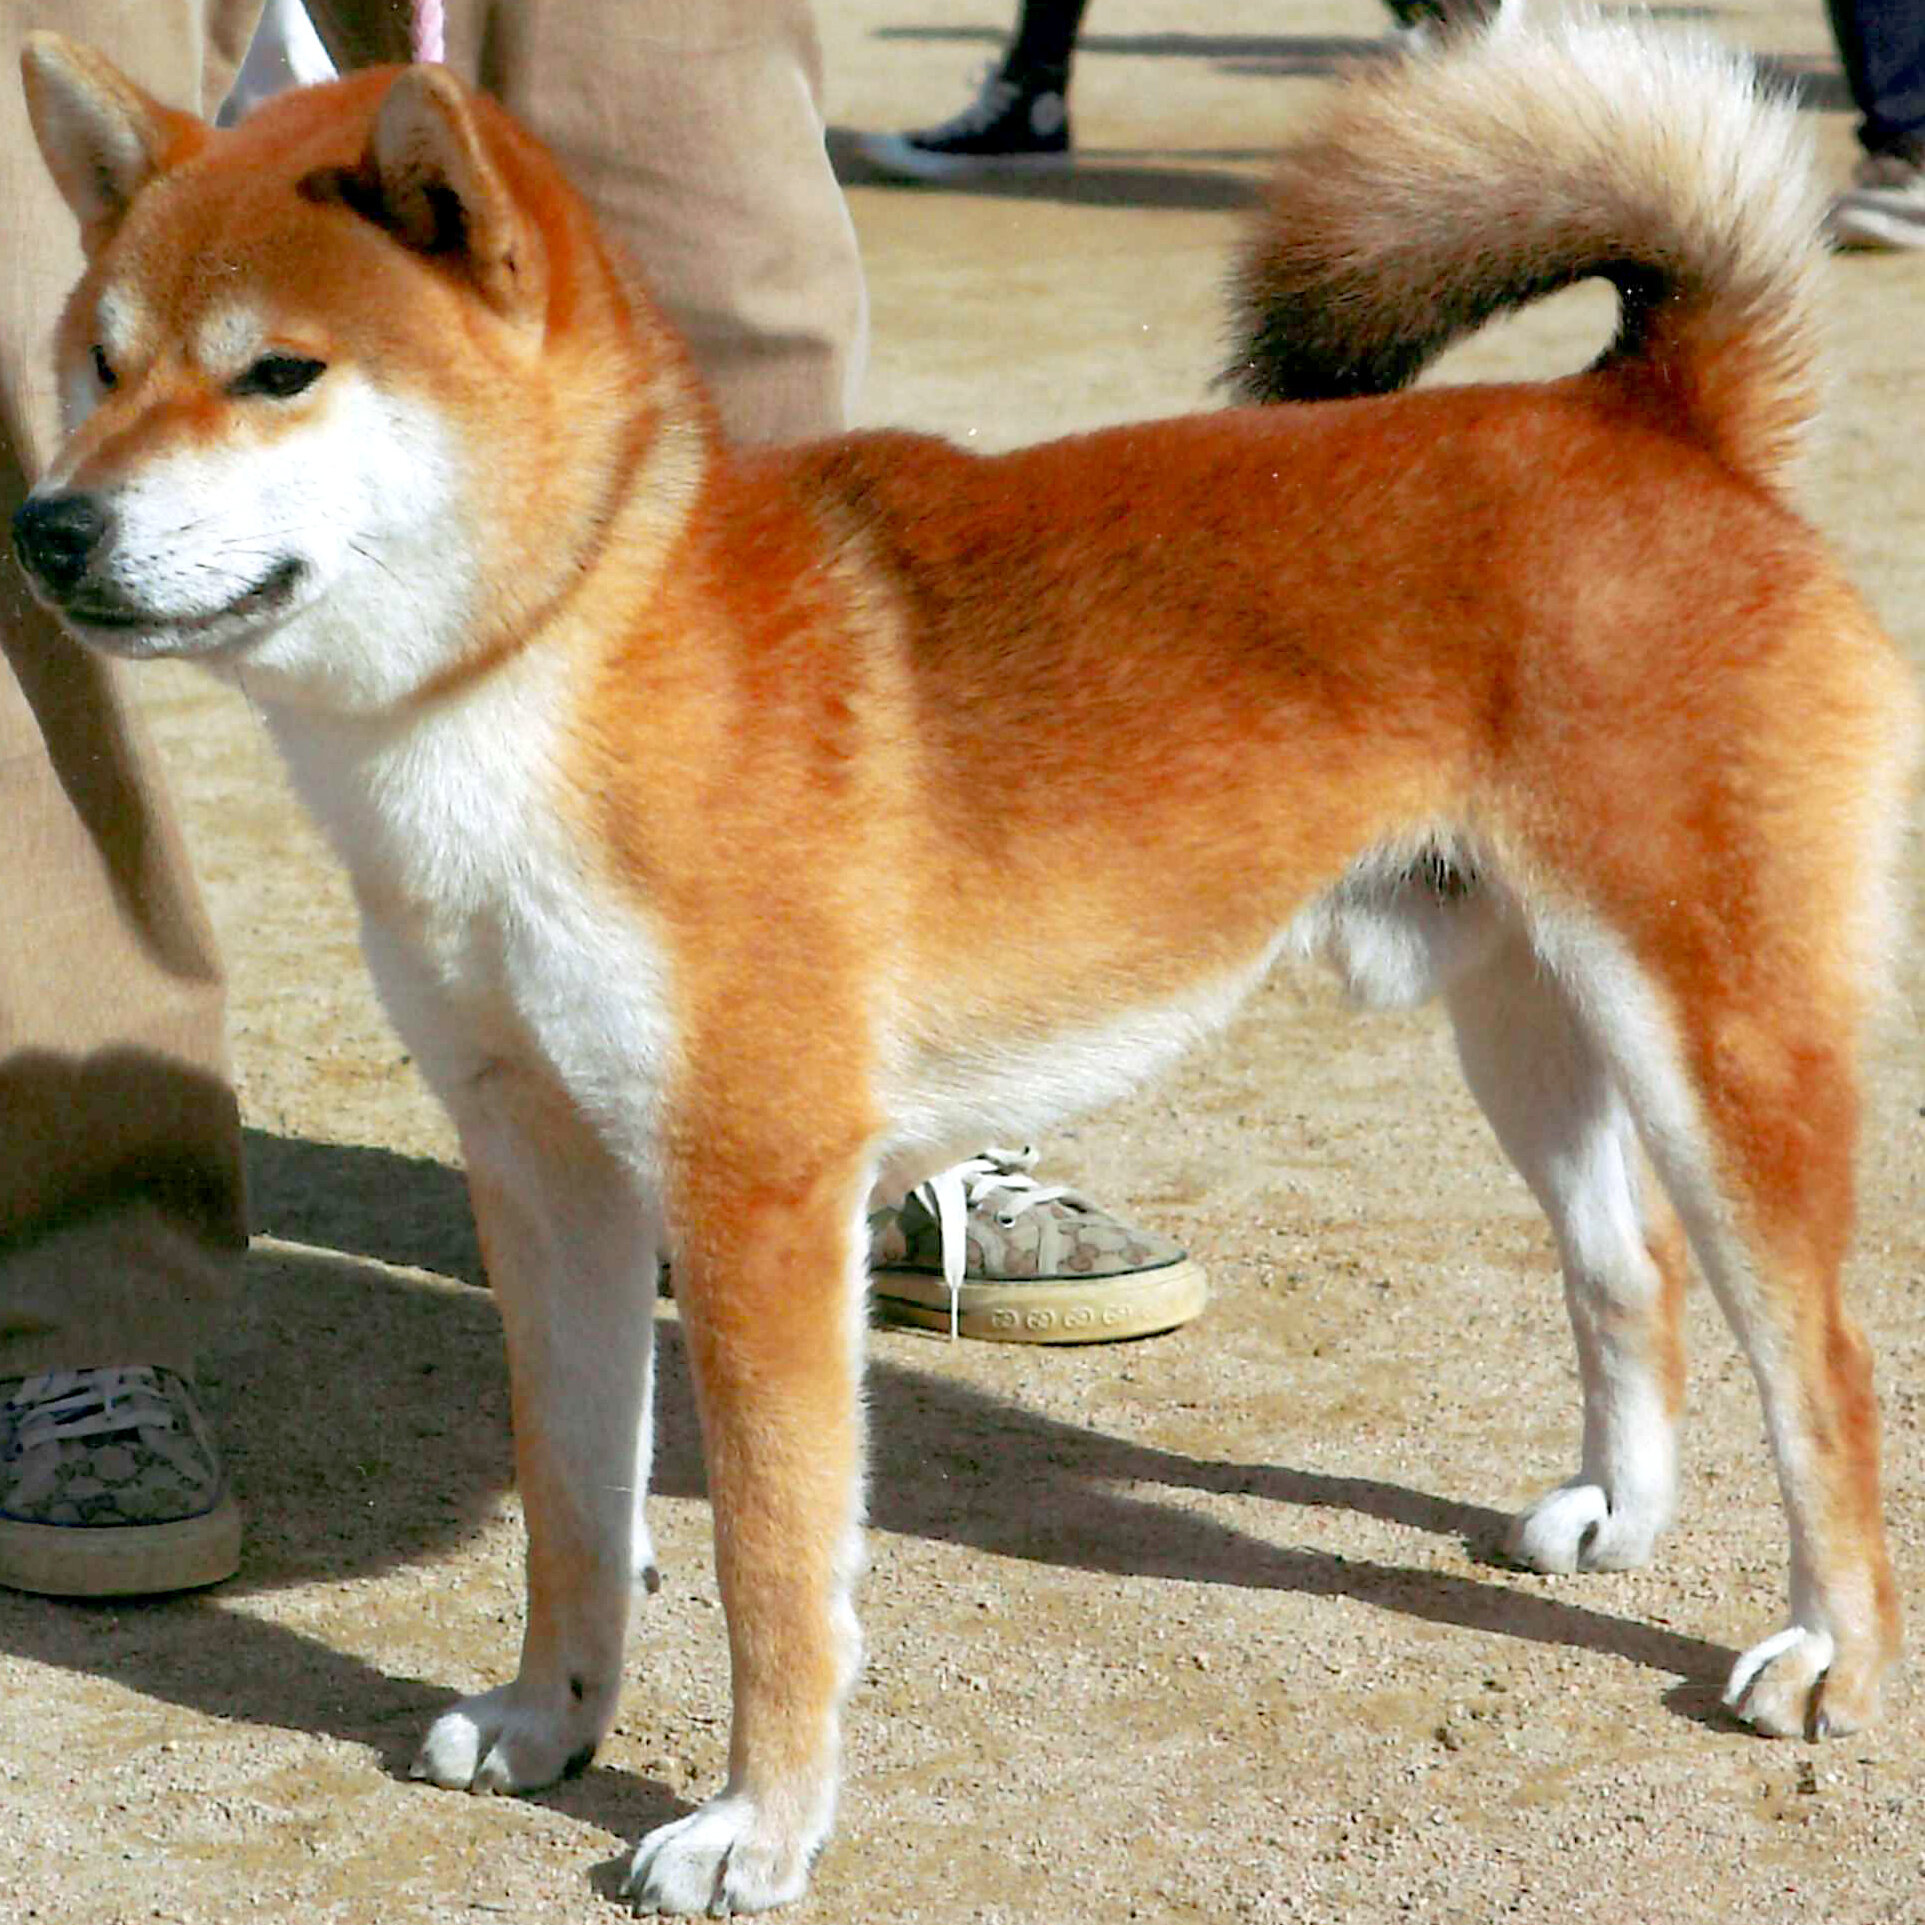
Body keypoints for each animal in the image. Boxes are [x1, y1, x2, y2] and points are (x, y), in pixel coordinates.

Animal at [14, 16, 1917, 1914]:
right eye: (96, 362)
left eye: (280, 374)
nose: (48, 528)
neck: (556, 668)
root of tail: (1655, 420)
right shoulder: (545, 1179)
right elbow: (573, 1509)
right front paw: (552, 1720)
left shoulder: (757, 1205)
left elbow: (772, 1570)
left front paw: (755, 1824)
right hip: (1527, 1026)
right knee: (1626, 1272)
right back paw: (1619, 1518)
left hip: (1715, 1045)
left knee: (1821, 1370)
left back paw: (1832, 1654)